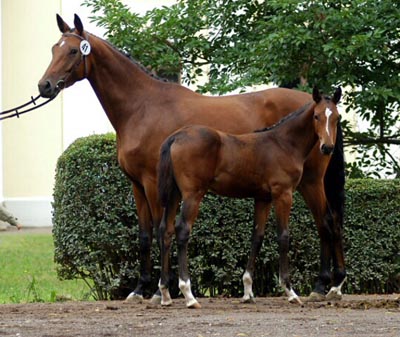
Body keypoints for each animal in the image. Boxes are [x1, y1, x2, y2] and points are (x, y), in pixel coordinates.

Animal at [158, 86, 342, 308]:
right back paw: (189, 294)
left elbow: (257, 236)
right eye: (316, 116)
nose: (327, 147)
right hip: (192, 194)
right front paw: (290, 291)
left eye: (337, 118)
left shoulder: (263, 199)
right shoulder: (283, 194)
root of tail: (175, 137)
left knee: (166, 230)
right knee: (182, 229)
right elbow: (283, 236)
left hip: (174, 194)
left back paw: (165, 293)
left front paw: (247, 291)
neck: (283, 143)